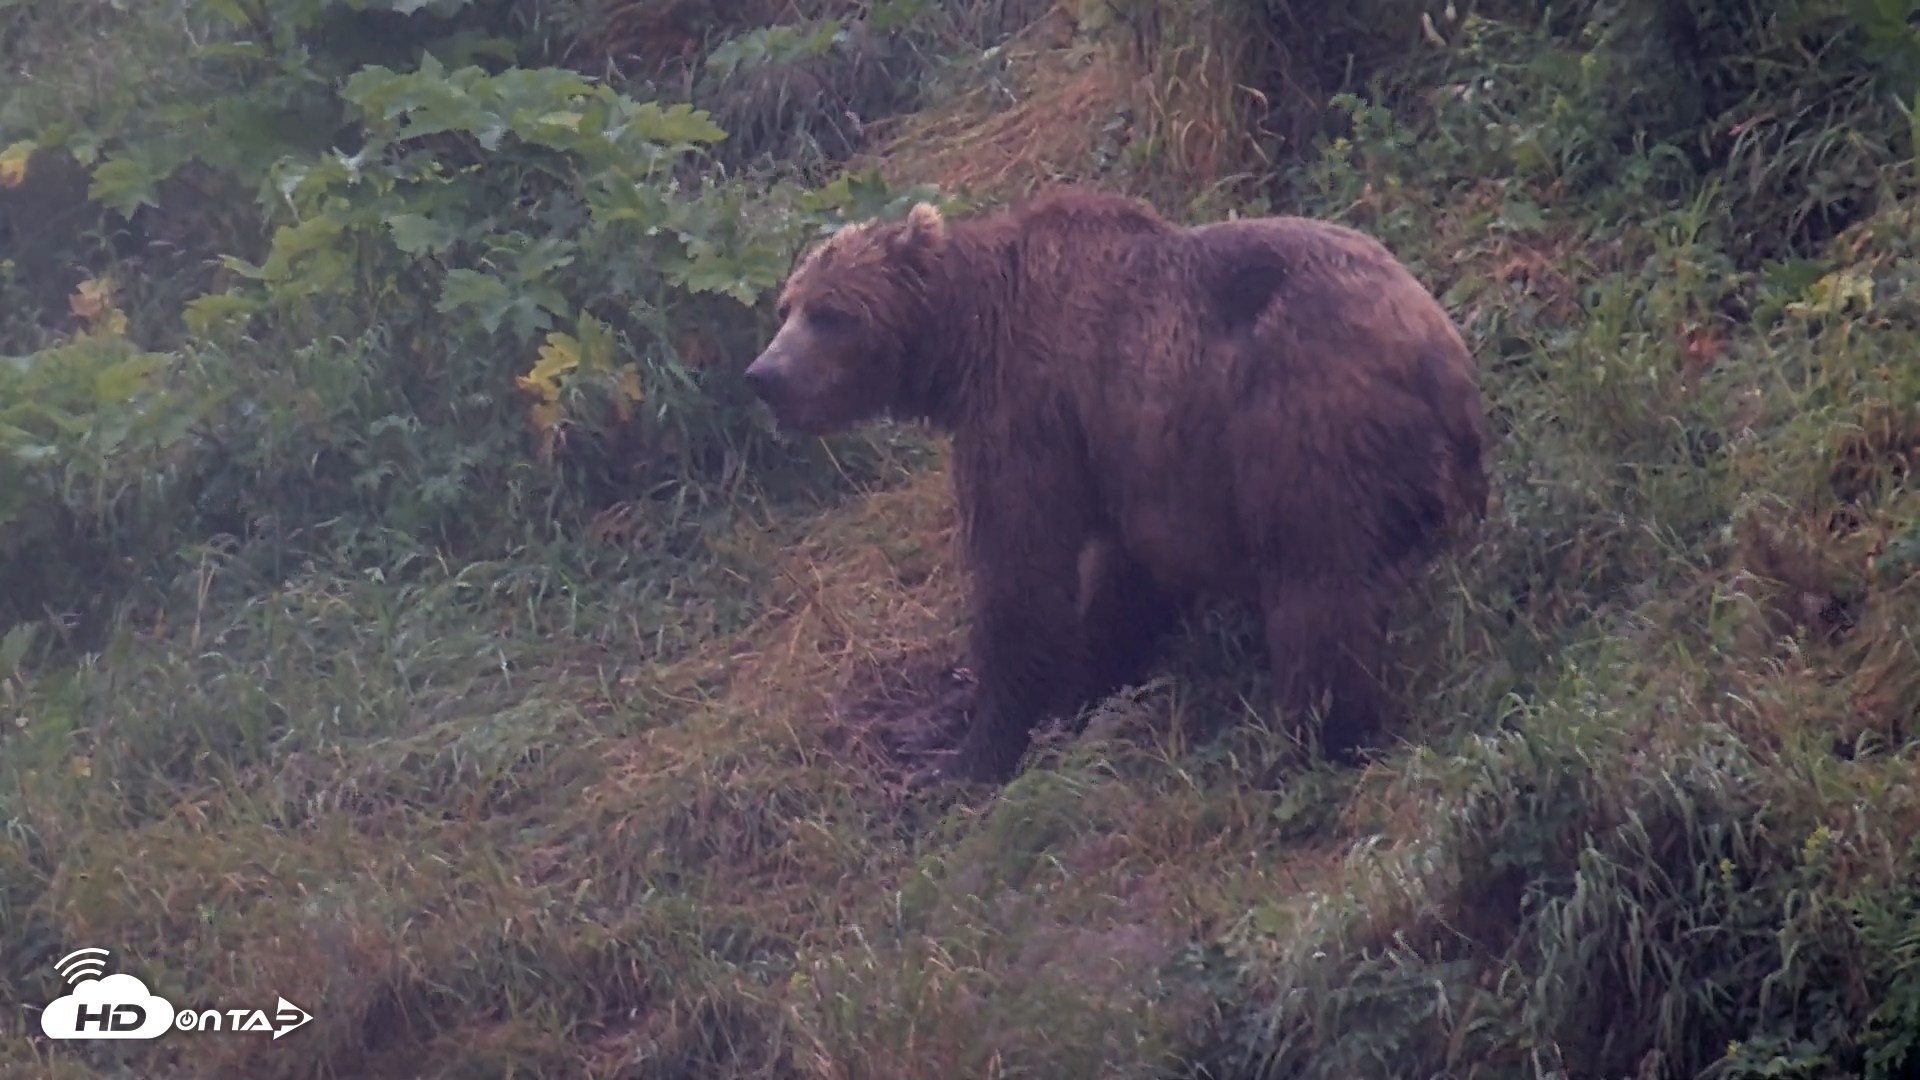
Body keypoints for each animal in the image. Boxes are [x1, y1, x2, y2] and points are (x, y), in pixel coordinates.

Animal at [743, 186, 1489, 786]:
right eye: (786, 306)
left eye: (831, 314)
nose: (764, 375)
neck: (966, 339)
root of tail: (1431, 349)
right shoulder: (1129, 461)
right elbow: (1120, 580)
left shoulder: (1029, 410)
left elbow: (1022, 572)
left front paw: (969, 754)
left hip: (1302, 423)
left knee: (1317, 584)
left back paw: (1309, 741)